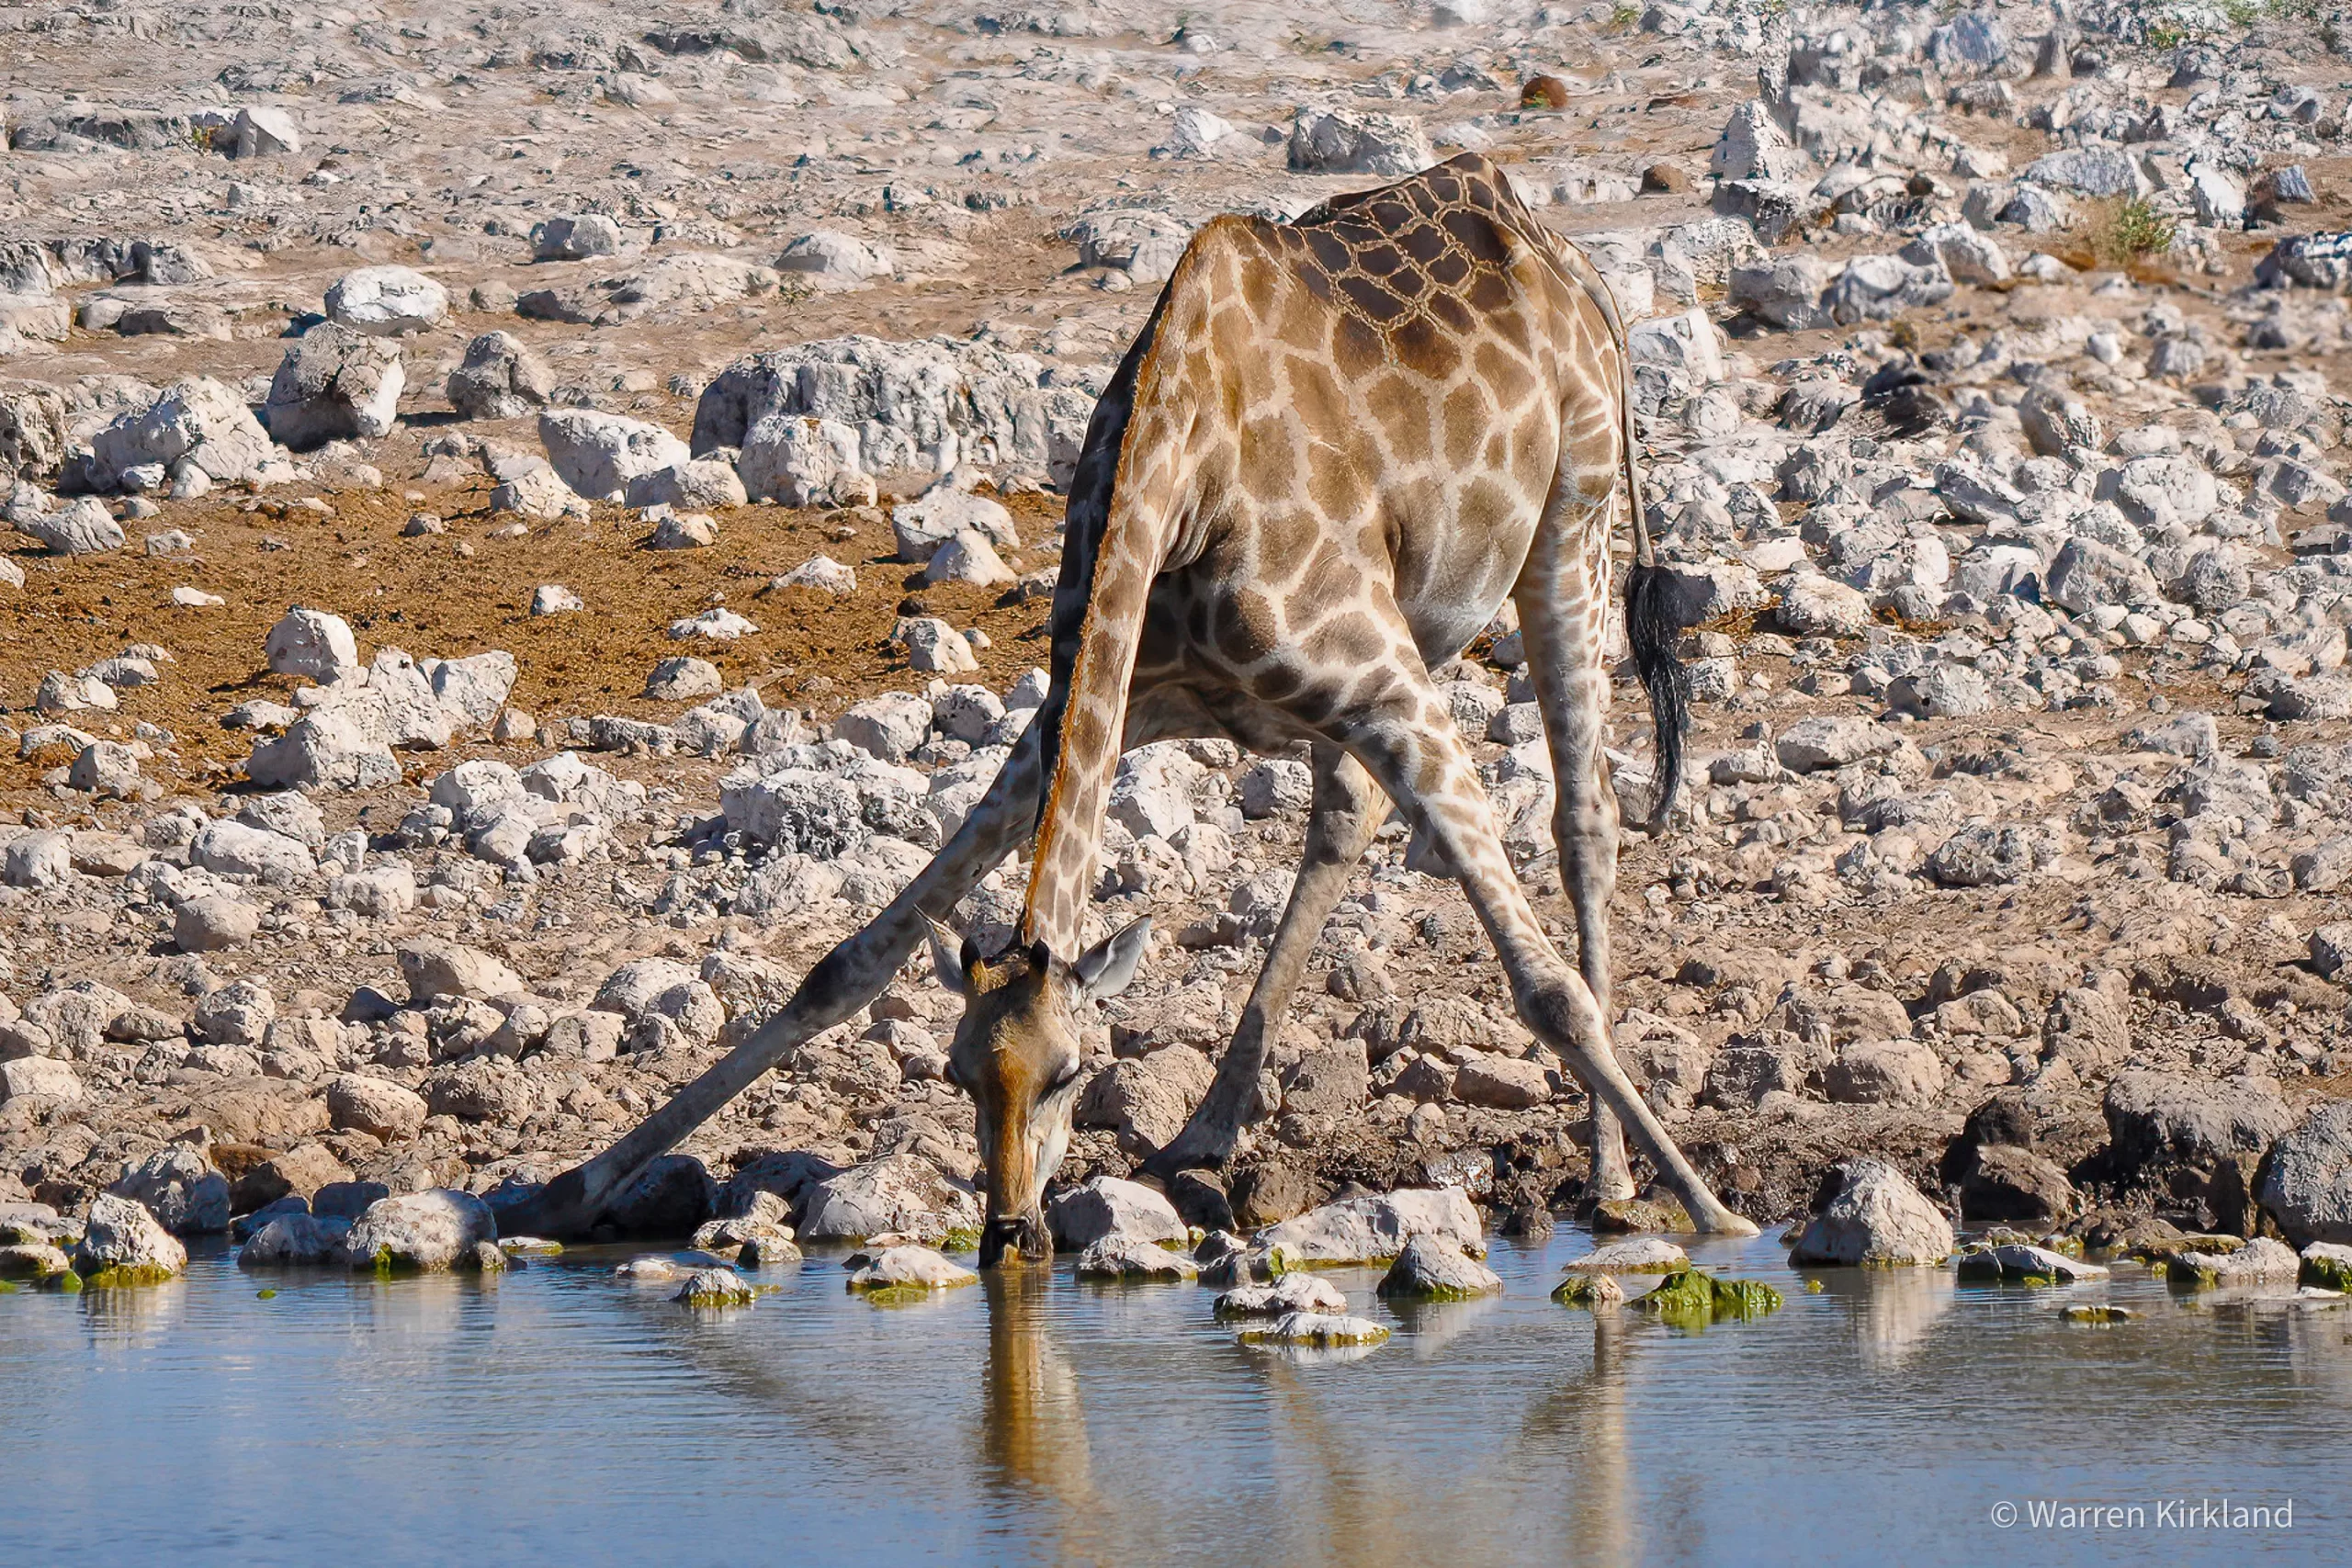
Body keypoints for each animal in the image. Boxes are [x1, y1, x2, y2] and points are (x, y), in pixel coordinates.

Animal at [504, 152, 1754, 1254]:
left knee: (1584, 819)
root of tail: (1562, 254)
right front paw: (573, 1187)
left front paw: (1716, 1217)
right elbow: (847, 964)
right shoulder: (1097, 706)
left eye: (1073, 1073)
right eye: (959, 1075)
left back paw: (1610, 1174)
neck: (1179, 479)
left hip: (1567, 530)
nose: (1009, 1230)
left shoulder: (1384, 686)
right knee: (1347, 816)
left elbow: (1544, 989)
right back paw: (1205, 1130)